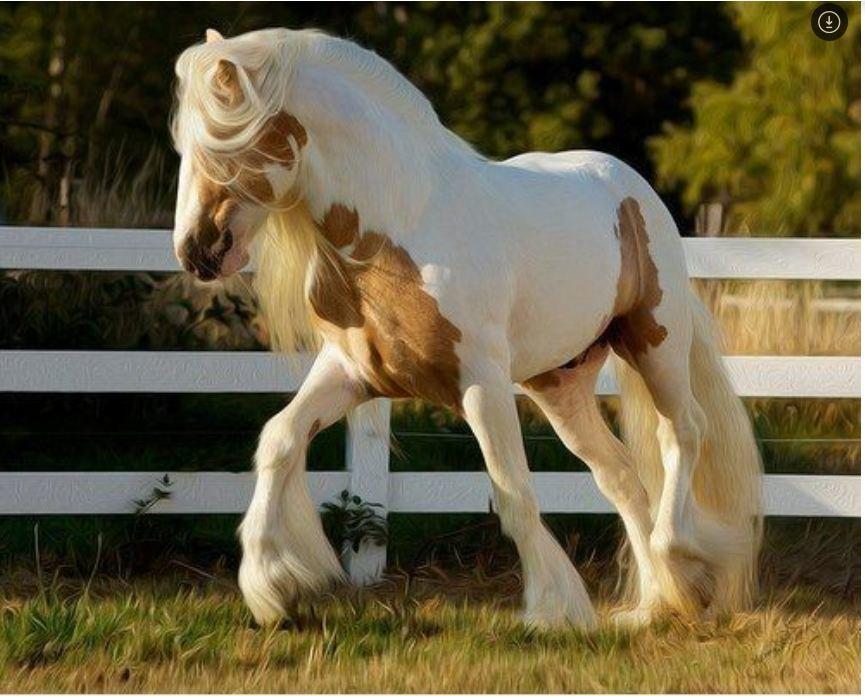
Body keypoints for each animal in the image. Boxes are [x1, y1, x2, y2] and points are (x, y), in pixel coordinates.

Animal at [170, 27, 762, 629]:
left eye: (224, 144)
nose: (195, 252)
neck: (402, 224)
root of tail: (630, 183)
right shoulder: (352, 373)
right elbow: (279, 439)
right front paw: (271, 589)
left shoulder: (481, 383)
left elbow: (514, 493)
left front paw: (552, 610)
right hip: (560, 384)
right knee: (619, 476)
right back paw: (653, 605)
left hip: (654, 342)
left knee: (682, 432)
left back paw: (681, 556)